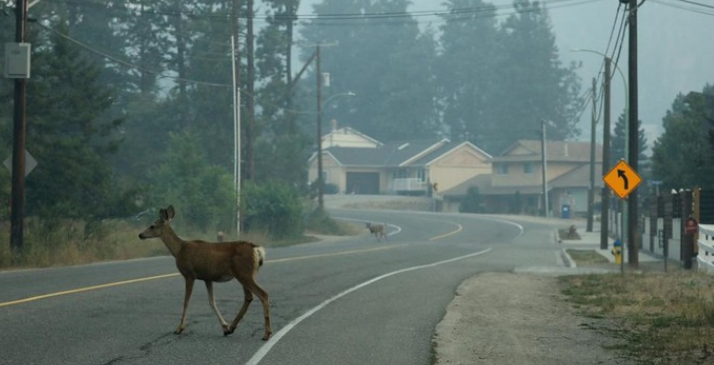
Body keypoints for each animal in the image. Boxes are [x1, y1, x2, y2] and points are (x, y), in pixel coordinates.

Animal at [138, 205, 272, 338]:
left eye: (152, 225)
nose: (140, 234)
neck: (179, 249)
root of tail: (257, 249)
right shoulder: (207, 278)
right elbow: (212, 301)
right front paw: (224, 327)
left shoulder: (189, 274)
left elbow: (186, 301)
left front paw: (179, 328)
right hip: (246, 274)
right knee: (249, 297)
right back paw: (232, 328)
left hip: (244, 273)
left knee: (263, 294)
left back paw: (266, 333)